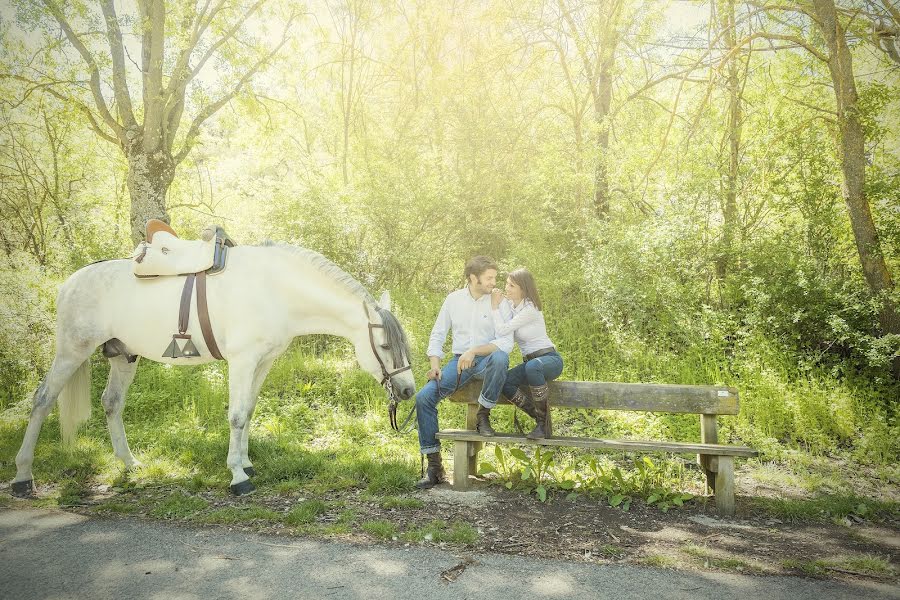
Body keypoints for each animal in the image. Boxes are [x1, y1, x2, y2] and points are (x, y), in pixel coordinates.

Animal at [11, 241, 418, 494]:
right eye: (385, 345)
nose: (408, 390)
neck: (277, 290)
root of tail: (70, 281)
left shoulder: (263, 361)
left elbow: (248, 411)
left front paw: (245, 463)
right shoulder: (242, 360)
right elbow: (236, 416)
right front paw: (238, 477)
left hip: (123, 356)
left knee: (111, 404)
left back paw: (129, 463)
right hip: (71, 351)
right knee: (42, 400)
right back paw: (23, 476)